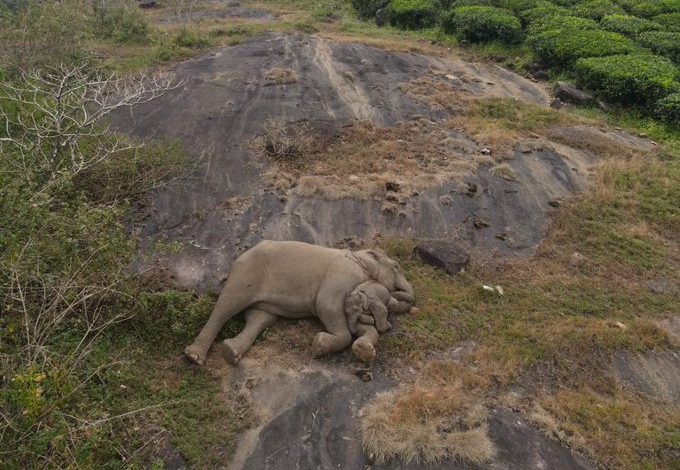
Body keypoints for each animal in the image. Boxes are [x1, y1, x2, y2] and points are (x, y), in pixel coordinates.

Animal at [183, 241, 414, 366]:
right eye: (396, 267)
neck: (359, 256)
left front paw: (364, 348)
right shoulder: (343, 274)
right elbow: (327, 304)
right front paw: (319, 344)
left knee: (259, 318)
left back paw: (230, 352)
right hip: (246, 273)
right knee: (227, 305)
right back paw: (194, 357)